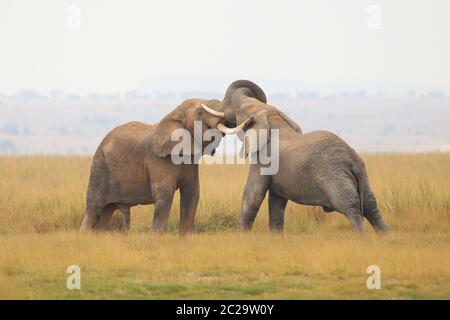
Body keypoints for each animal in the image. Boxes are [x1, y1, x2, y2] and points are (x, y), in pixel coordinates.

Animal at [79, 99, 225, 234]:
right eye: (200, 113)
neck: (174, 115)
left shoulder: (191, 162)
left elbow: (192, 193)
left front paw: (185, 239)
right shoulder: (158, 159)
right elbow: (165, 193)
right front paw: (155, 237)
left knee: (107, 211)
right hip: (99, 166)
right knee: (93, 208)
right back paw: (83, 236)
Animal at [202, 81, 388, 234]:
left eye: (239, 111)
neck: (272, 118)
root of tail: (352, 161)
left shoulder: (264, 159)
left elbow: (253, 195)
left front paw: (241, 236)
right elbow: (277, 203)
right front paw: (276, 237)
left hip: (335, 177)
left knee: (351, 208)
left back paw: (361, 237)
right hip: (363, 174)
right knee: (371, 206)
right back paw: (384, 236)